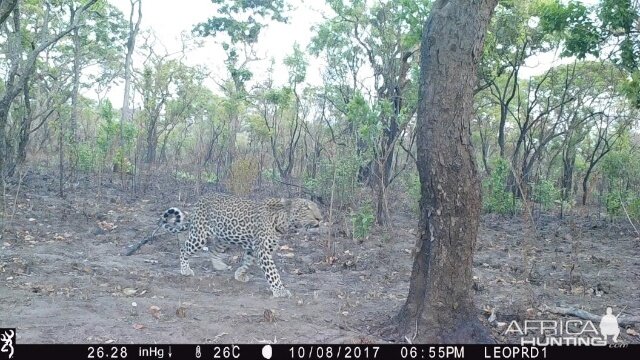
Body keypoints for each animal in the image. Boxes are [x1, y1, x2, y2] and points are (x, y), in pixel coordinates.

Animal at [160, 193, 320, 296]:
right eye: (306, 208)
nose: (320, 218)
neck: (282, 221)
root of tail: (199, 201)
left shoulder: (255, 249)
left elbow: (247, 262)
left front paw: (240, 275)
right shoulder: (263, 250)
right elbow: (273, 273)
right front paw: (280, 290)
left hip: (224, 237)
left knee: (213, 249)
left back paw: (219, 265)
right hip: (200, 236)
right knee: (184, 248)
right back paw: (185, 269)